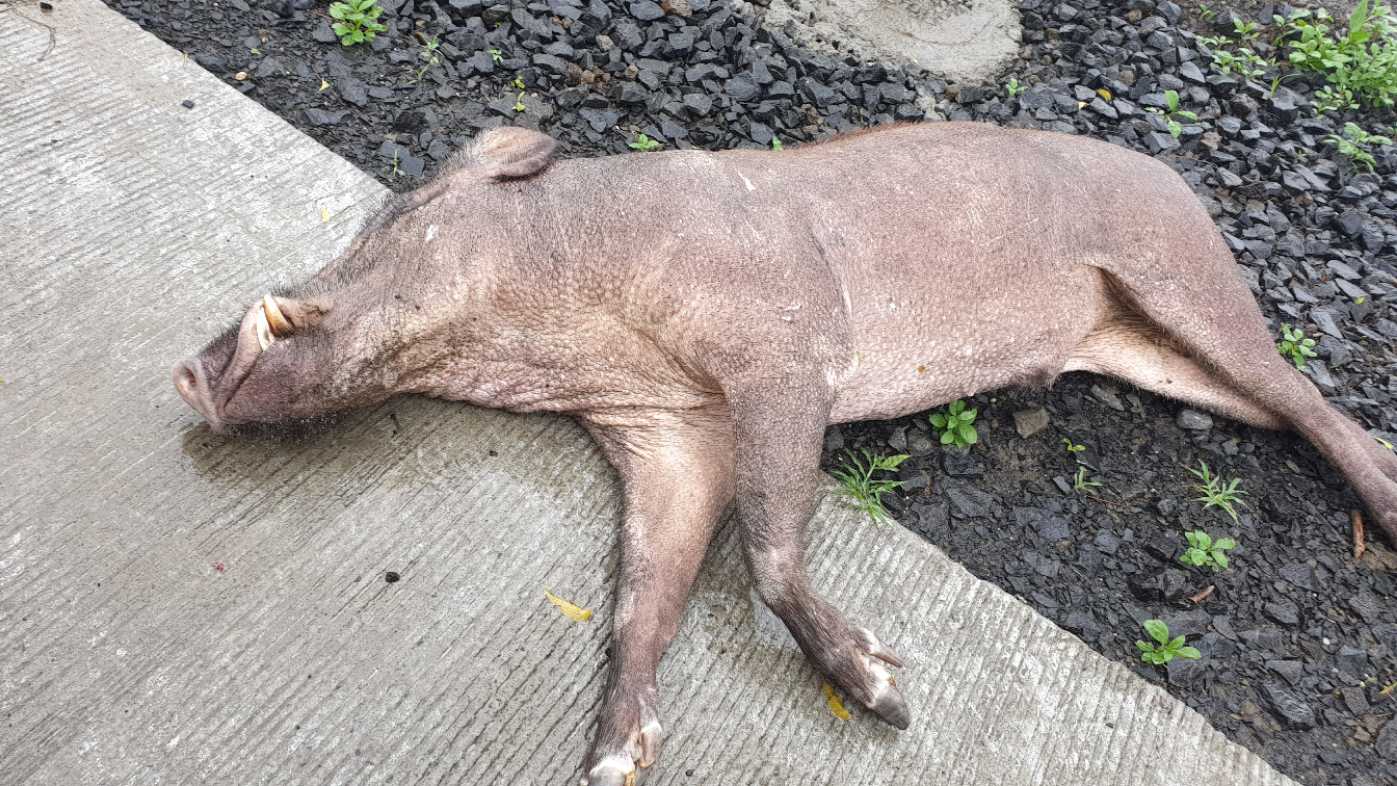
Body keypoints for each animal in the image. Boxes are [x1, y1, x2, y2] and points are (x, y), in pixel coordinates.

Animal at [174, 122, 1397, 785]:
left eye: (396, 216)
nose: (184, 371)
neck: (575, 336)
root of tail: (1175, 178)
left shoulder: (787, 354)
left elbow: (765, 544)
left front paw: (889, 702)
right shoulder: (668, 436)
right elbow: (639, 596)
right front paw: (613, 760)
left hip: (1176, 270)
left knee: (1310, 400)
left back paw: (1384, 508)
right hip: (1143, 351)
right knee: (1283, 413)